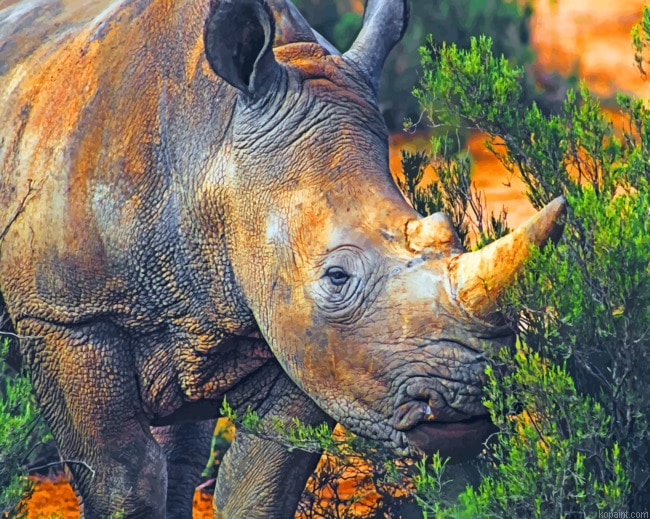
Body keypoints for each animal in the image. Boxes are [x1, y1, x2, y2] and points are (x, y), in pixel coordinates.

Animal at [0, 0, 566, 517]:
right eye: (336, 277)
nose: (471, 399)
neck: (213, 147)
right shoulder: (64, 315)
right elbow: (120, 478)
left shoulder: (295, 329)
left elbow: (262, 480)